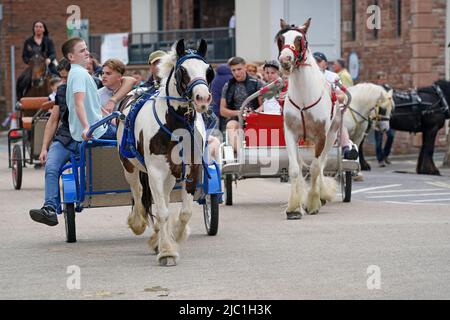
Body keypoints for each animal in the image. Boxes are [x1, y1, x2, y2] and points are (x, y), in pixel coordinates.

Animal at [116, 38, 214, 266]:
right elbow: (161, 211)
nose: (202, 98)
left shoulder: (192, 168)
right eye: (182, 70)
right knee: (138, 192)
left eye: (208, 70)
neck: (175, 126)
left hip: (169, 174)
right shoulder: (155, 171)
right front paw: (167, 250)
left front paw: (174, 235)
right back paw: (138, 222)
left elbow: (185, 212)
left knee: (166, 198)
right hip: (129, 166)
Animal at [278, 18, 342, 220]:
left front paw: (313, 202)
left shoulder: (321, 136)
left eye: (299, 39)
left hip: (331, 136)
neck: (304, 97)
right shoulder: (290, 133)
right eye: (281, 39)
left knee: (320, 164)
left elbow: (315, 168)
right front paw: (293, 208)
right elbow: (294, 169)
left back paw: (321, 195)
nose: (285, 60)